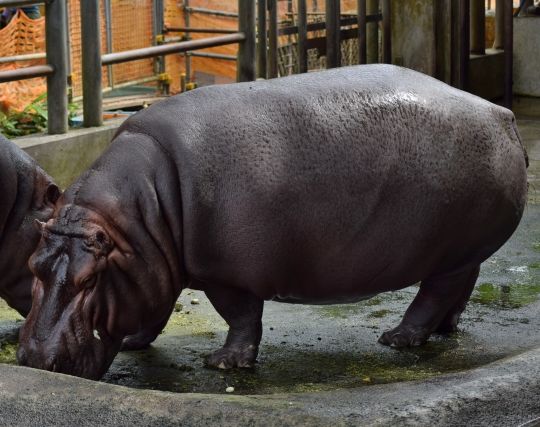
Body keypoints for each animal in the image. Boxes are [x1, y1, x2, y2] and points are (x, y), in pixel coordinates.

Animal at [17, 65, 528, 380]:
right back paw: (444, 330)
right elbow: (154, 306)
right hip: (460, 251)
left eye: (89, 279)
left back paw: (399, 339)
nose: (34, 359)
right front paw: (133, 343)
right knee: (460, 285)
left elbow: (241, 316)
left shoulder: (224, 274)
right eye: (33, 265)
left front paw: (224, 364)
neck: (138, 219)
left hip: (451, 249)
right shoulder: (150, 262)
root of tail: (500, 113)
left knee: (434, 293)